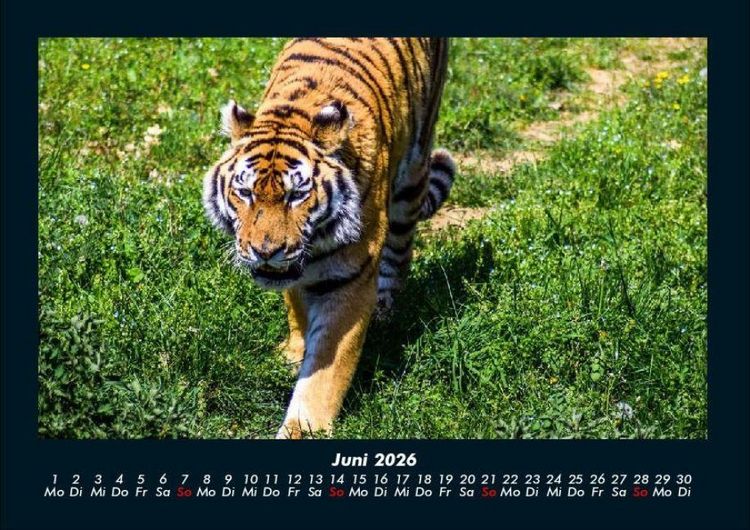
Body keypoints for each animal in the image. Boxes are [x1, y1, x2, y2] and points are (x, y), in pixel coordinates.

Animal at [202, 38, 456, 439]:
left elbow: (322, 374)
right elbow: (297, 308)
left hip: (413, 173)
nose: (265, 251)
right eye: (245, 193)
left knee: (399, 252)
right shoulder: (294, 271)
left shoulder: (348, 283)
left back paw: (385, 309)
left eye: (296, 195)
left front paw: (302, 428)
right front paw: (294, 351)